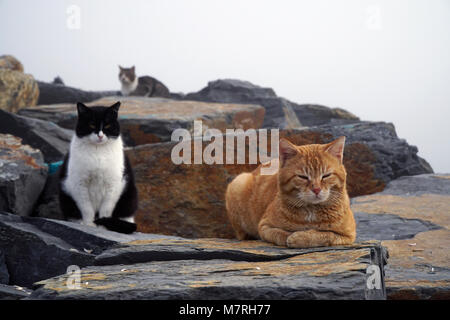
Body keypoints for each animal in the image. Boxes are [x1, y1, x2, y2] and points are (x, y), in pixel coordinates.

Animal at [59, 101, 138, 234]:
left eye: (107, 125)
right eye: (91, 124)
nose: (100, 136)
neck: (98, 152)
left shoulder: (114, 185)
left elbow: (106, 209)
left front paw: (102, 227)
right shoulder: (78, 184)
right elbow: (86, 208)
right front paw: (89, 225)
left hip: (129, 197)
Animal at [225, 136, 356, 249]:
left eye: (326, 175)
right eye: (303, 177)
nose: (316, 189)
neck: (312, 210)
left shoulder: (348, 235)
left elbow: (325, 234)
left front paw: (301, 237)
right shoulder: (264, 226)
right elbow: (280, 234)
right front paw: (291, 236)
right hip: (238, 183)